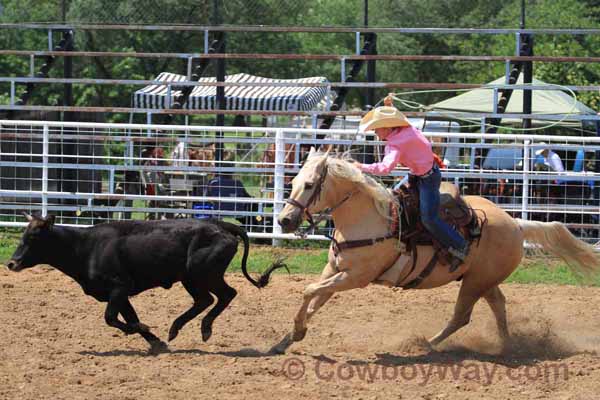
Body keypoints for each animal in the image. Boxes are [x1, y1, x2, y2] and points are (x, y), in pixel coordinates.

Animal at [274, 149, 600, 354]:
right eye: (293, 181)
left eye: (310, 184)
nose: (284, 220)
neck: (366, 219)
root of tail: (516, 224)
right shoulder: (334, 270)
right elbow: (315, 299)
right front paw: (289, 338)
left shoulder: (355, 277)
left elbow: (307, 291)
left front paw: (296, 332)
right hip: (484, 280)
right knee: (498, 305)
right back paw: (509, 346)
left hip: (475, 283)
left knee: (461, 317)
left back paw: (426, 344)